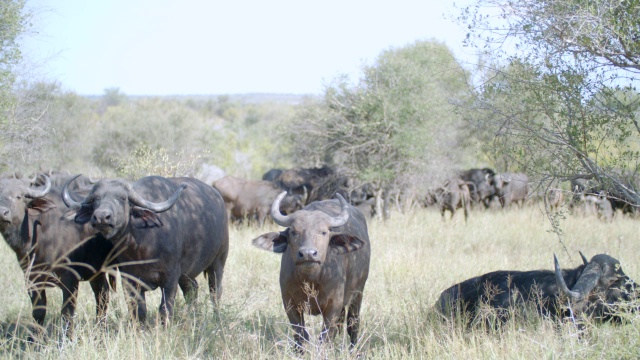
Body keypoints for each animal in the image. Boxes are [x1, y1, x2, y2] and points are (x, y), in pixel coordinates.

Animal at [0, 174, 113, 332]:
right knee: (102, 293)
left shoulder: (69, 278)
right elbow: (38, 312)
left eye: (19, 196)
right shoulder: (32, 278)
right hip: (96, 271)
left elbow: (67, 313)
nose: (2, 213)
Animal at [63, 175, 229, 324]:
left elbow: (164, 310)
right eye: (96, 199)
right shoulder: (129, 281)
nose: (102, 217)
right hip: (187, 274)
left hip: (218, 262)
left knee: (215, 293)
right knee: (192, 290)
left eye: (122, 198)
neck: (141, 249)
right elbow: (138, 311)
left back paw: (217, 319)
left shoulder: (170, 278)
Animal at [251, 193, 370, 350]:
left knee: (353, 324)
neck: (311, 280)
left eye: (324, 232)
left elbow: (325, 338)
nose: (308, 254)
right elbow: (301, 336)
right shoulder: (290, 305)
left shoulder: (333, 306)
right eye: (294, 232)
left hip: (358, 293)